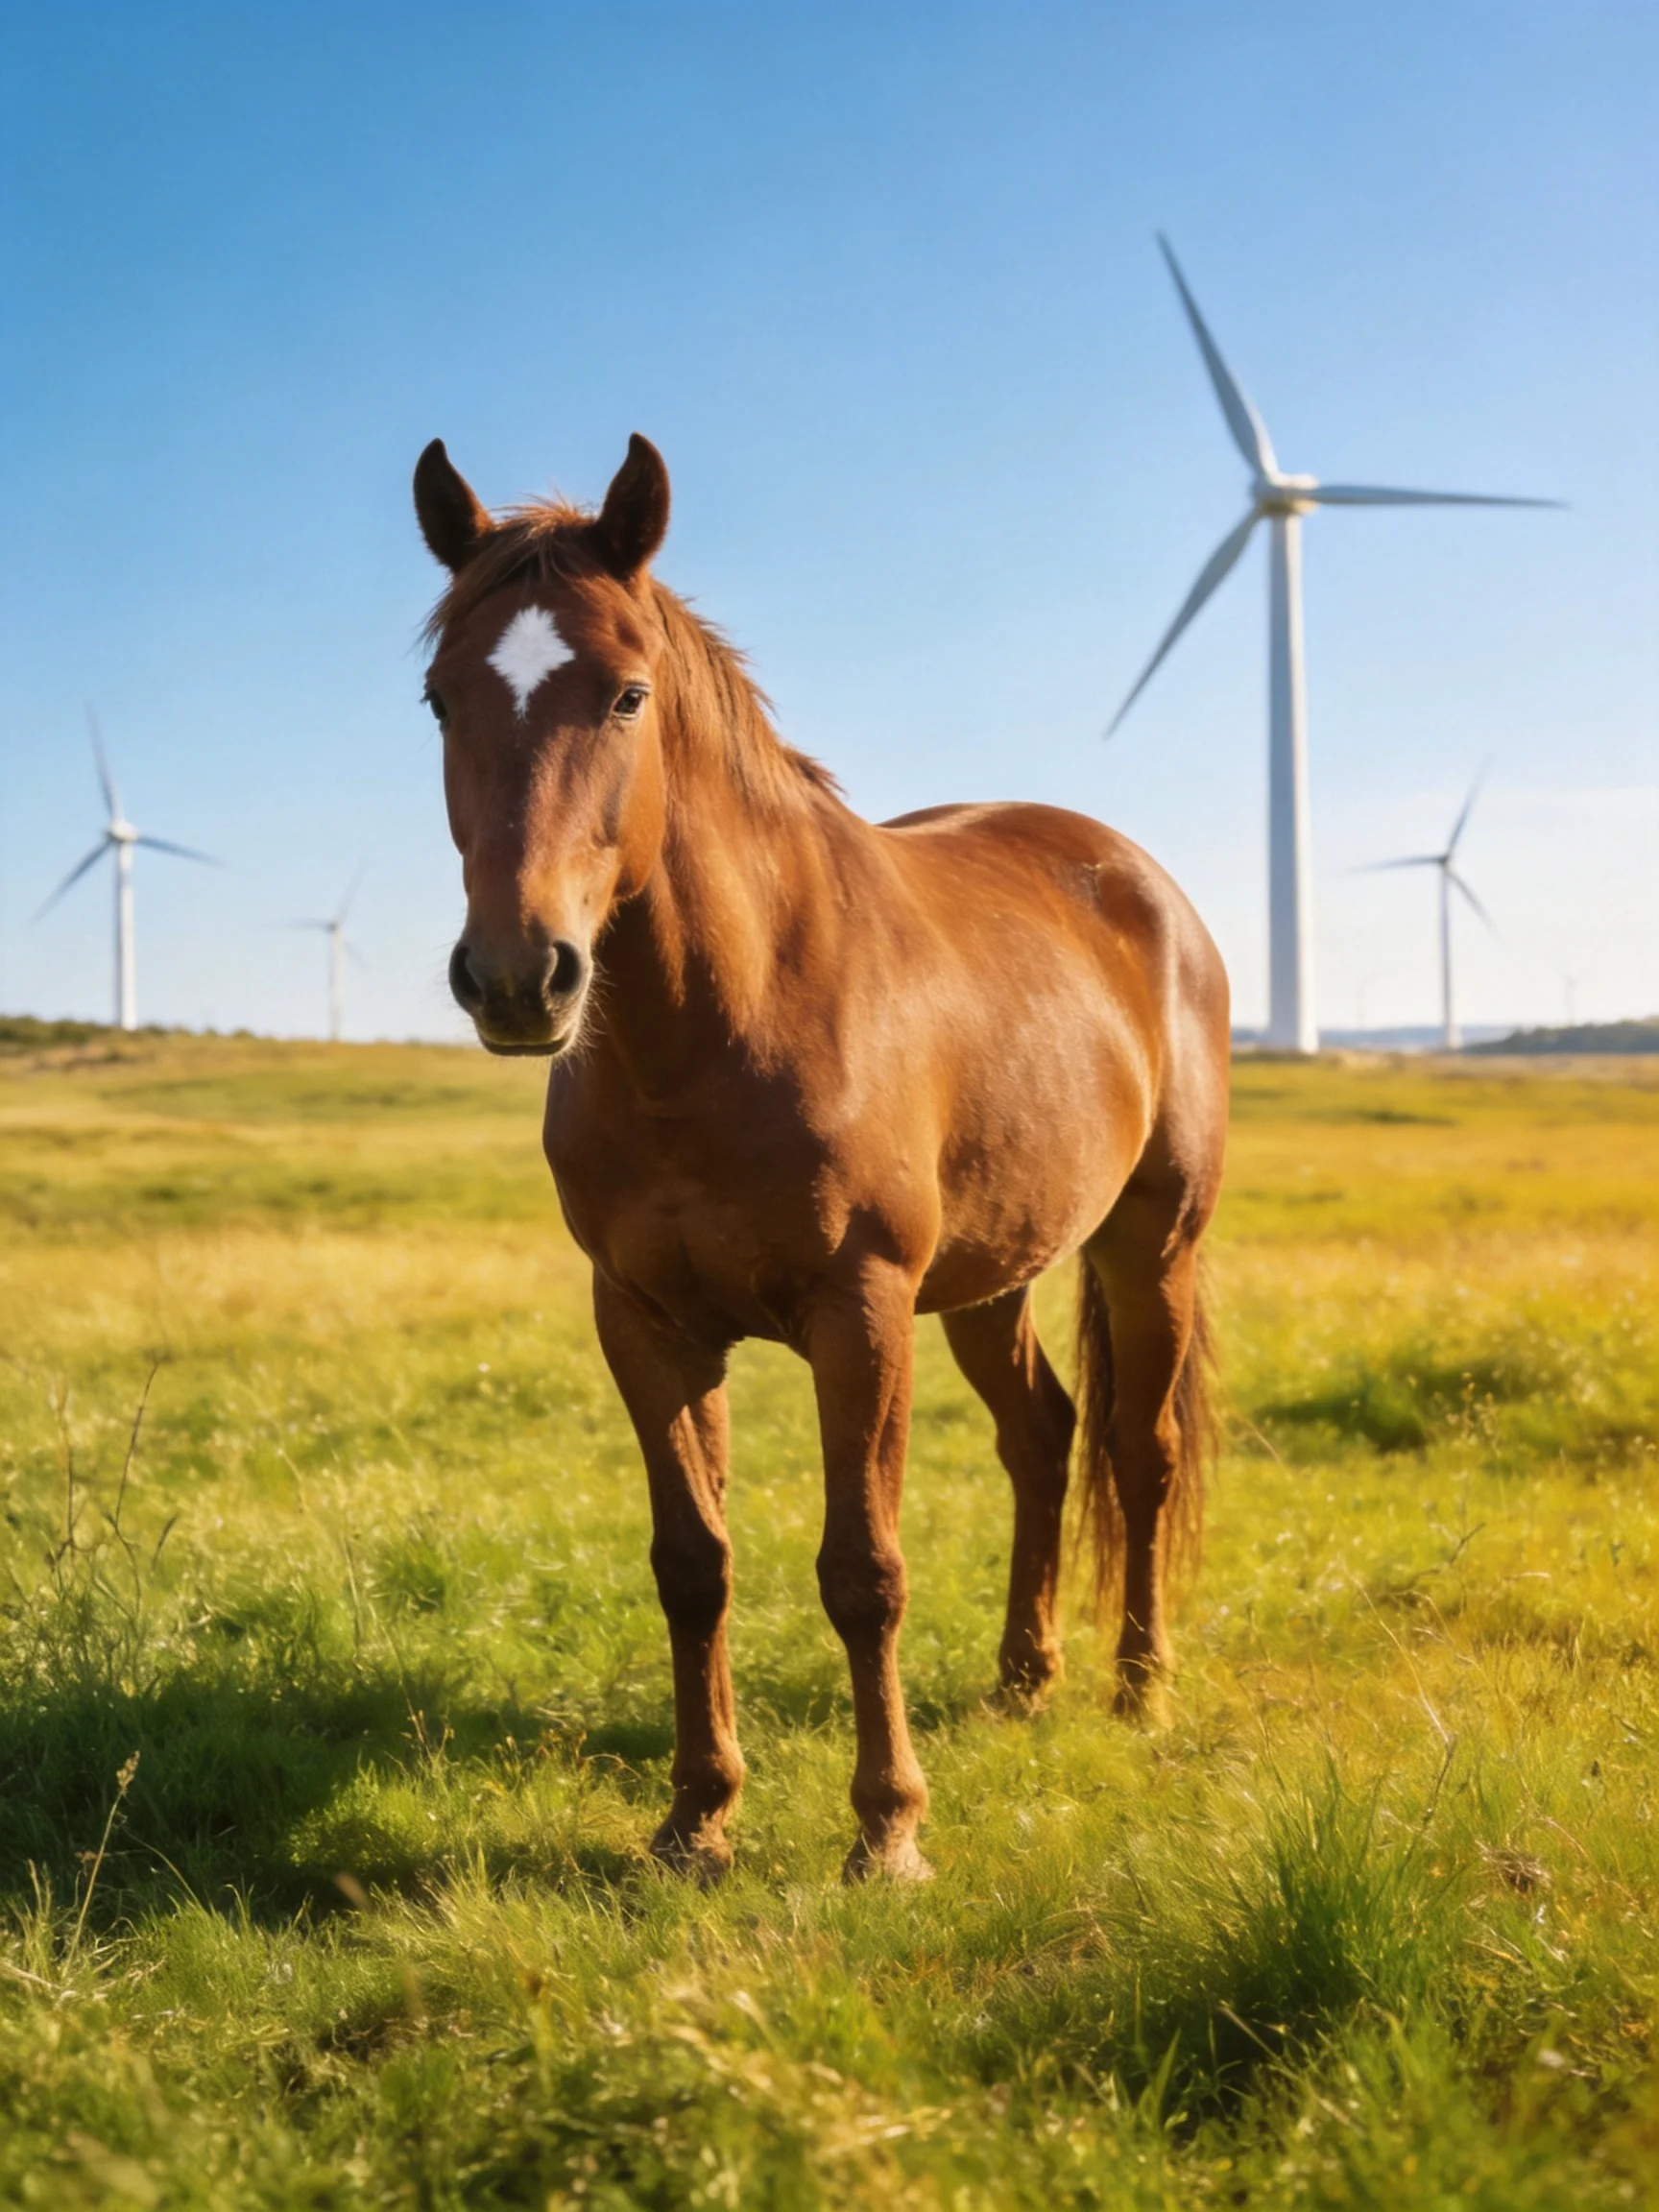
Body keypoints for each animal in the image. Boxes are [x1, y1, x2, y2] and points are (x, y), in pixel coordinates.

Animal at [413, 433, 1229, 1883]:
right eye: (440, 699)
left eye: (626, 695)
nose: (517, 978)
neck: (720, 1026)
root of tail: (1141, 881)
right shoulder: (646, 1322)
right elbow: (693, 1562)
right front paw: (697, 1815)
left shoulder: (861, 1311)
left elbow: (865, 1570)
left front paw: (887, 1830)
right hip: (993, 1276)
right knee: (1044, 1438)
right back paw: (1025, 1678)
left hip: (1152, 1246)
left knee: (1140, 1454)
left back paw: (1140, 1687)